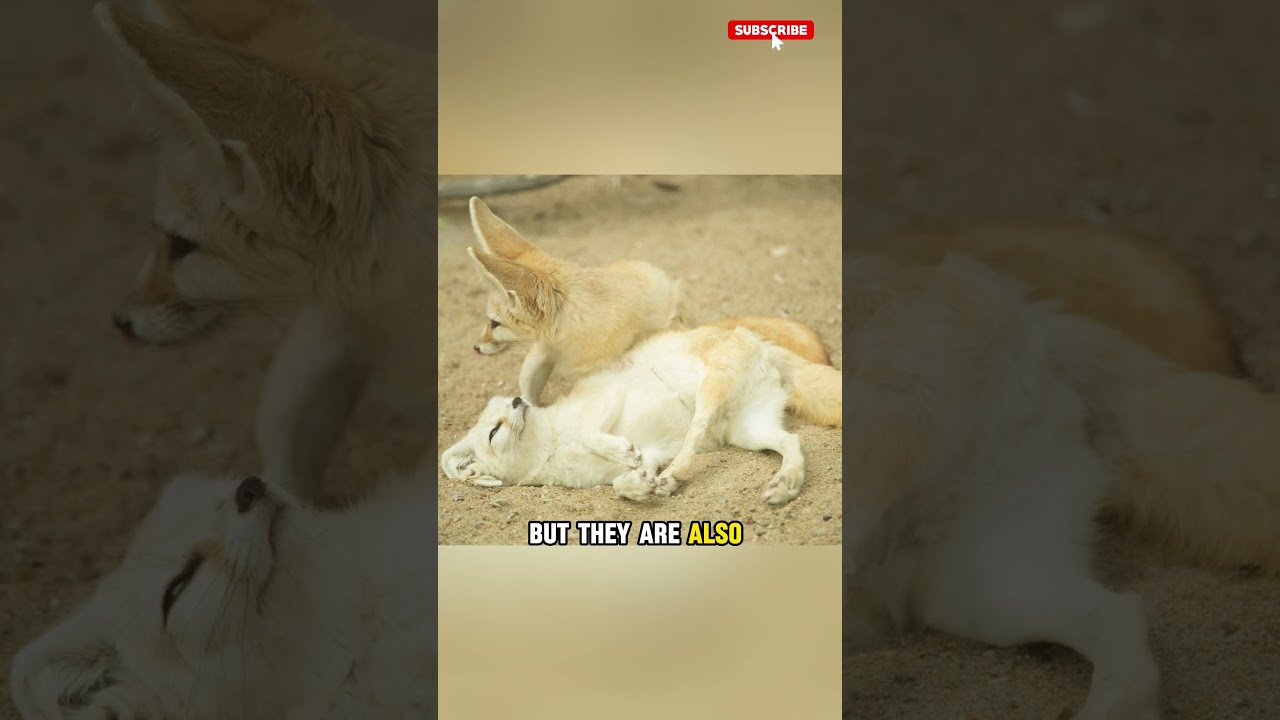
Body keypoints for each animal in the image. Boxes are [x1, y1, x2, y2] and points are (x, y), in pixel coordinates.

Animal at [442, 324, 842, 505]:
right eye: (494, 431)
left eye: (502, 408)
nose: (516, 401)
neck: (553, 445)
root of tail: (760, 340)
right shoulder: (650, 452)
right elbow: (622, 482)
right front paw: (639, 485)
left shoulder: (610, 397)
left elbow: (594, 436)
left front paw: (625, 457)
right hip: (749, 431)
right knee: (792, 441)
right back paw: (787, 481)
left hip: (707, 395)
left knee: (696, 433)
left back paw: (674, 475)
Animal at [465, 196, 832, 407]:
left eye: (494, 323)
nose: (475, 347)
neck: (570, 341)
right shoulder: (544, 351)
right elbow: (528, 387)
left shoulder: (600, 367)